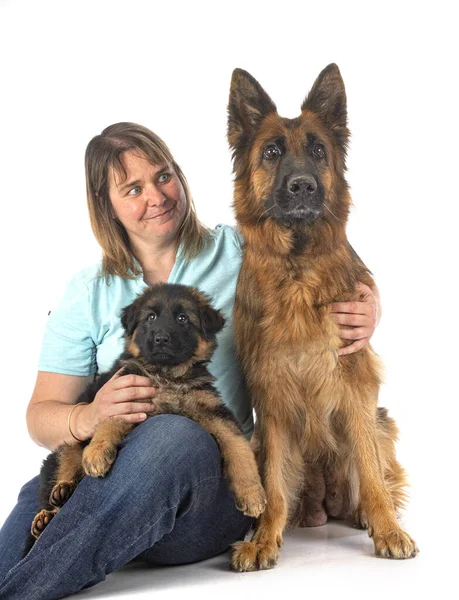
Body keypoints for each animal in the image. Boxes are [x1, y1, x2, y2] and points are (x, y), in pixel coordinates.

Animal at [27, 286, 266, 552]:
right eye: (150, 317)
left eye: (183, 318)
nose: (161, 338)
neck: (167, 376)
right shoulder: (124, 394)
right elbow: (109, 422)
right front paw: (97, 452)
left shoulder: (214, 411)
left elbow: (239, 445)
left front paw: (251, 493)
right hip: (61, 452)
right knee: (64, 466)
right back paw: (53, 504)